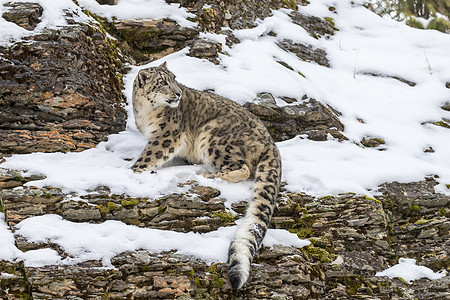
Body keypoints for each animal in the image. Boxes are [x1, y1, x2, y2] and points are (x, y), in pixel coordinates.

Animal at [131, 62, 282, 290]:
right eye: (163, 82)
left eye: (175, 79)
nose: (178, 93)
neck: (145, 112)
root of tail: (271, 142)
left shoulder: (166, 137)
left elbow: (148, 157)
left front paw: (129, 171)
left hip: (214, 135)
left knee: (243, 168)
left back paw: (208, 174)